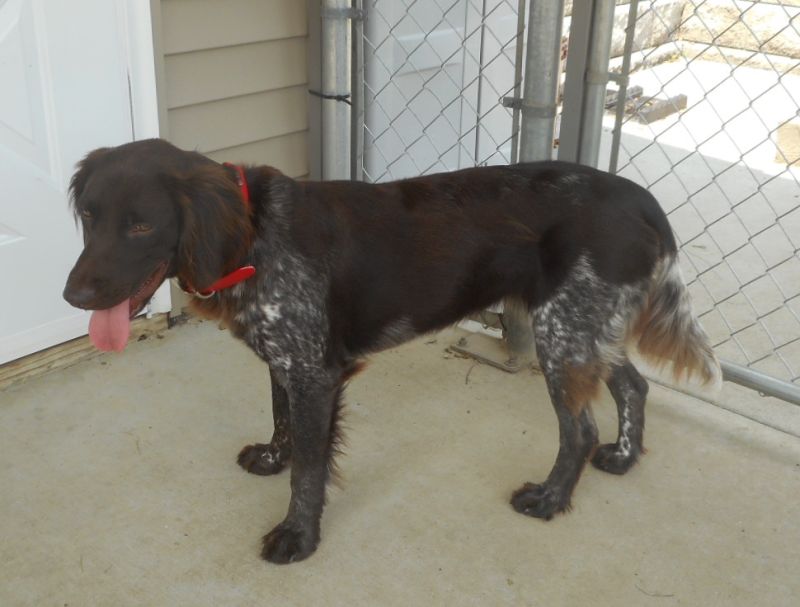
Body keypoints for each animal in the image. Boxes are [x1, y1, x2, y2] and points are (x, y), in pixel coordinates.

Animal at [63, 138, 720, 564]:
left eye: (141, 225)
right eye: (90, 215)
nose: (72, 296)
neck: (252, 232)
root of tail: (642, 201)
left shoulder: (315, 372)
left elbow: (310, 469)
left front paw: (297, 538)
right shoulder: (287, 360)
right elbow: (282, 423)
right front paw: (272, 459)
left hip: (563, 334)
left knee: (579, 430)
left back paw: (549, 499)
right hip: (585, 329)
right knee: (633, 385)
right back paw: (625, 457)